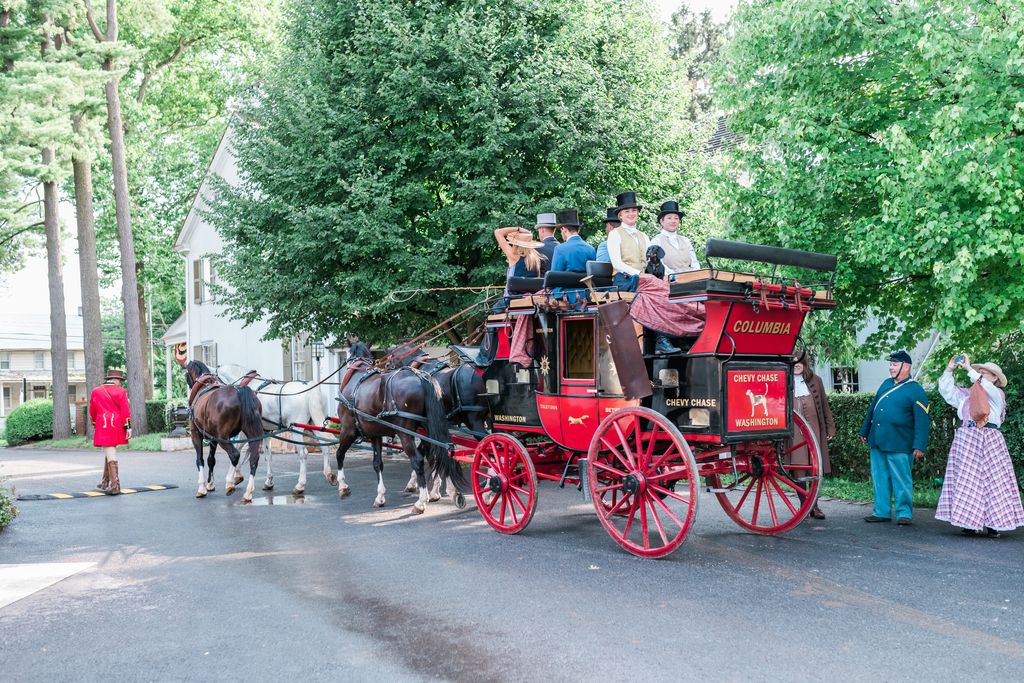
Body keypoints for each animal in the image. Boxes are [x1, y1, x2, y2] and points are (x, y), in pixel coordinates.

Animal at [184, 360, 266, 505]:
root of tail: (240, 391)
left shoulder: (196, 434)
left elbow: (200, 460)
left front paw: (202, 488)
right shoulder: (212, 438)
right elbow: (211, 460)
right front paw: (210, 484)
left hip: (223, 437)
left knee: (235, 455)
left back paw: (230, 483)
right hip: (250, 433)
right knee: (254, 458)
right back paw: (248, 493)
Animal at [218, 362, 337, 497]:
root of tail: (310, 388)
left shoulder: (246, 431)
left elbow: (238, 448)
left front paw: (234, 477)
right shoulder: (265, 431)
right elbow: (268, 455)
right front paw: (268, 482)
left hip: (297, 428)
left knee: (303, 454)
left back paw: (300, 485)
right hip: (317, 424)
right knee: (325, 446)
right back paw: (329, 474)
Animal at [333, 362, 466, 511]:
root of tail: (421, 376)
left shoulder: (348, 430)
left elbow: (339, 454)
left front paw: (343, 487)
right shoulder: (375, 435)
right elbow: (377, 464)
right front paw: (380, 497)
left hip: (405, 433)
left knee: (418, 460)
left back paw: (421, 501)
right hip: (431, 427)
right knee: (442, 453)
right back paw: (452, 492)